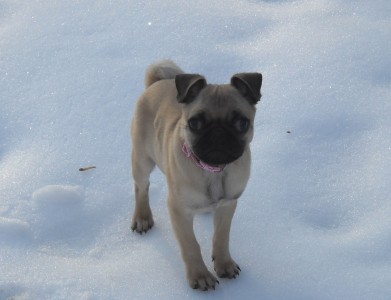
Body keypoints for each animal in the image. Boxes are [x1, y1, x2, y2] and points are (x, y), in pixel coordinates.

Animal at [132, 59, 264, 290]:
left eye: (242, 123)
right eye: (194, 123)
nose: (218, 133)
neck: (213, 170)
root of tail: (155, 83)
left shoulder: (228, 205)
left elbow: (221, 237)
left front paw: (224, 264)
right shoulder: (179, 212)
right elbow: (191, 245)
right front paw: (200, 276)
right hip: (142, 161)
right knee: (141, 187)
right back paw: (142, 217)